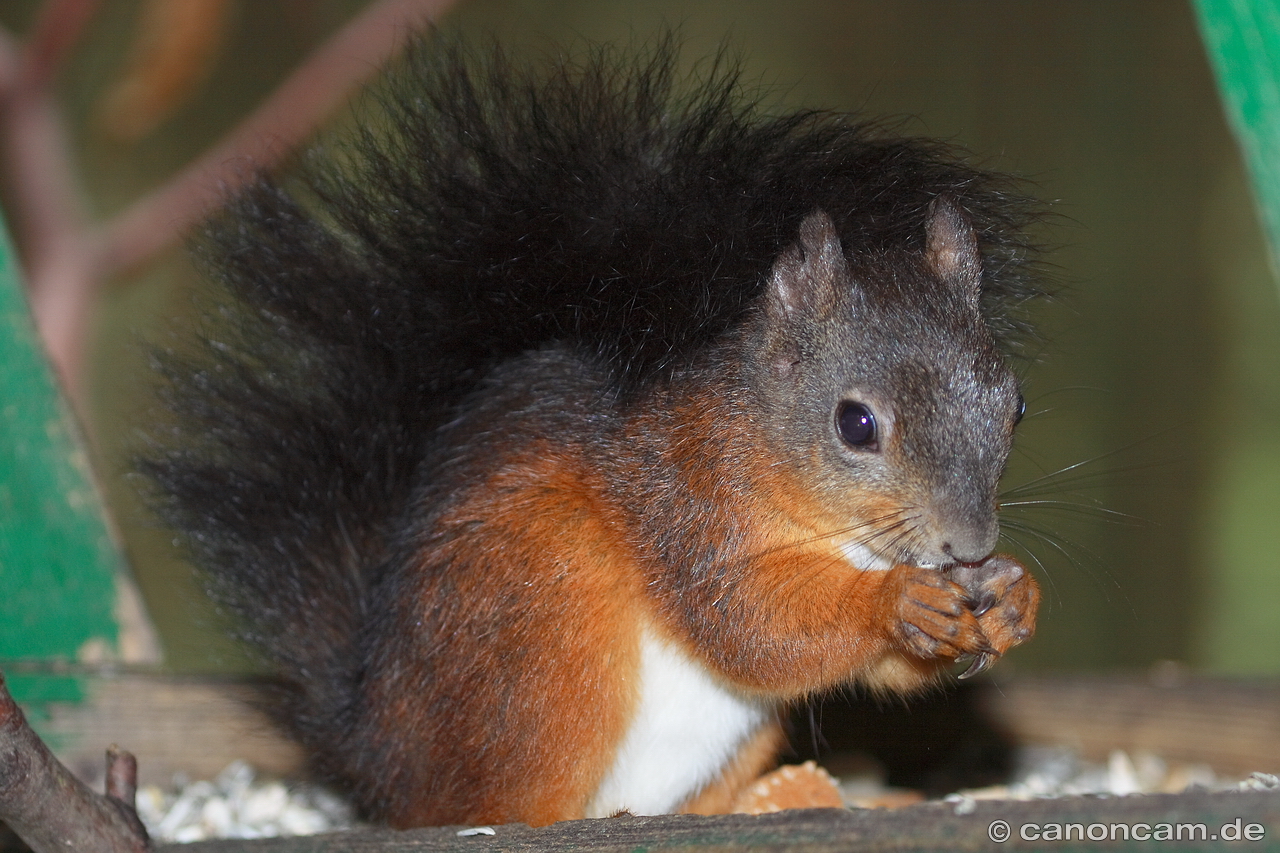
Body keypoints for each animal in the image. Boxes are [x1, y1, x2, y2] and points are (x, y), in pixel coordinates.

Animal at [140, 34, 1044, 824]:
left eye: (1015, 406)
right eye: (855, 424)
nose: (970, 544)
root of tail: (376, 753)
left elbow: (878, 671)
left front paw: (1011, 594)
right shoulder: (684, 494)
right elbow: (749, 622)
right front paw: (896, 600)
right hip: (544, 622)